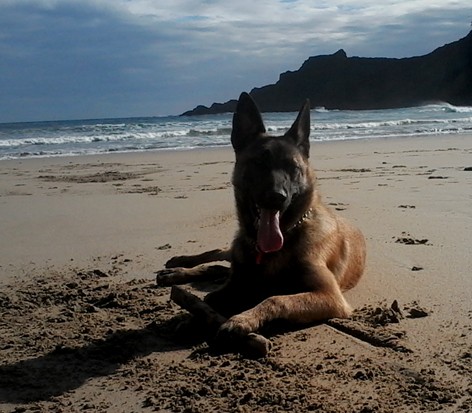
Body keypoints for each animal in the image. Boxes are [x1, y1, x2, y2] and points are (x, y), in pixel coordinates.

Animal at [157, 93, 366, 338]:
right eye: (259, 163)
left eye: (292, 167)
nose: (277, 197)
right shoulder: (236, 283)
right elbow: (210, 298)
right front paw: (192, 318)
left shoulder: (330, 297)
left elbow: (275, 299)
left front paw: (243, 319)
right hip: (236, 250)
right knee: (219, 255)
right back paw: (177, 267)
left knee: (220, 267)